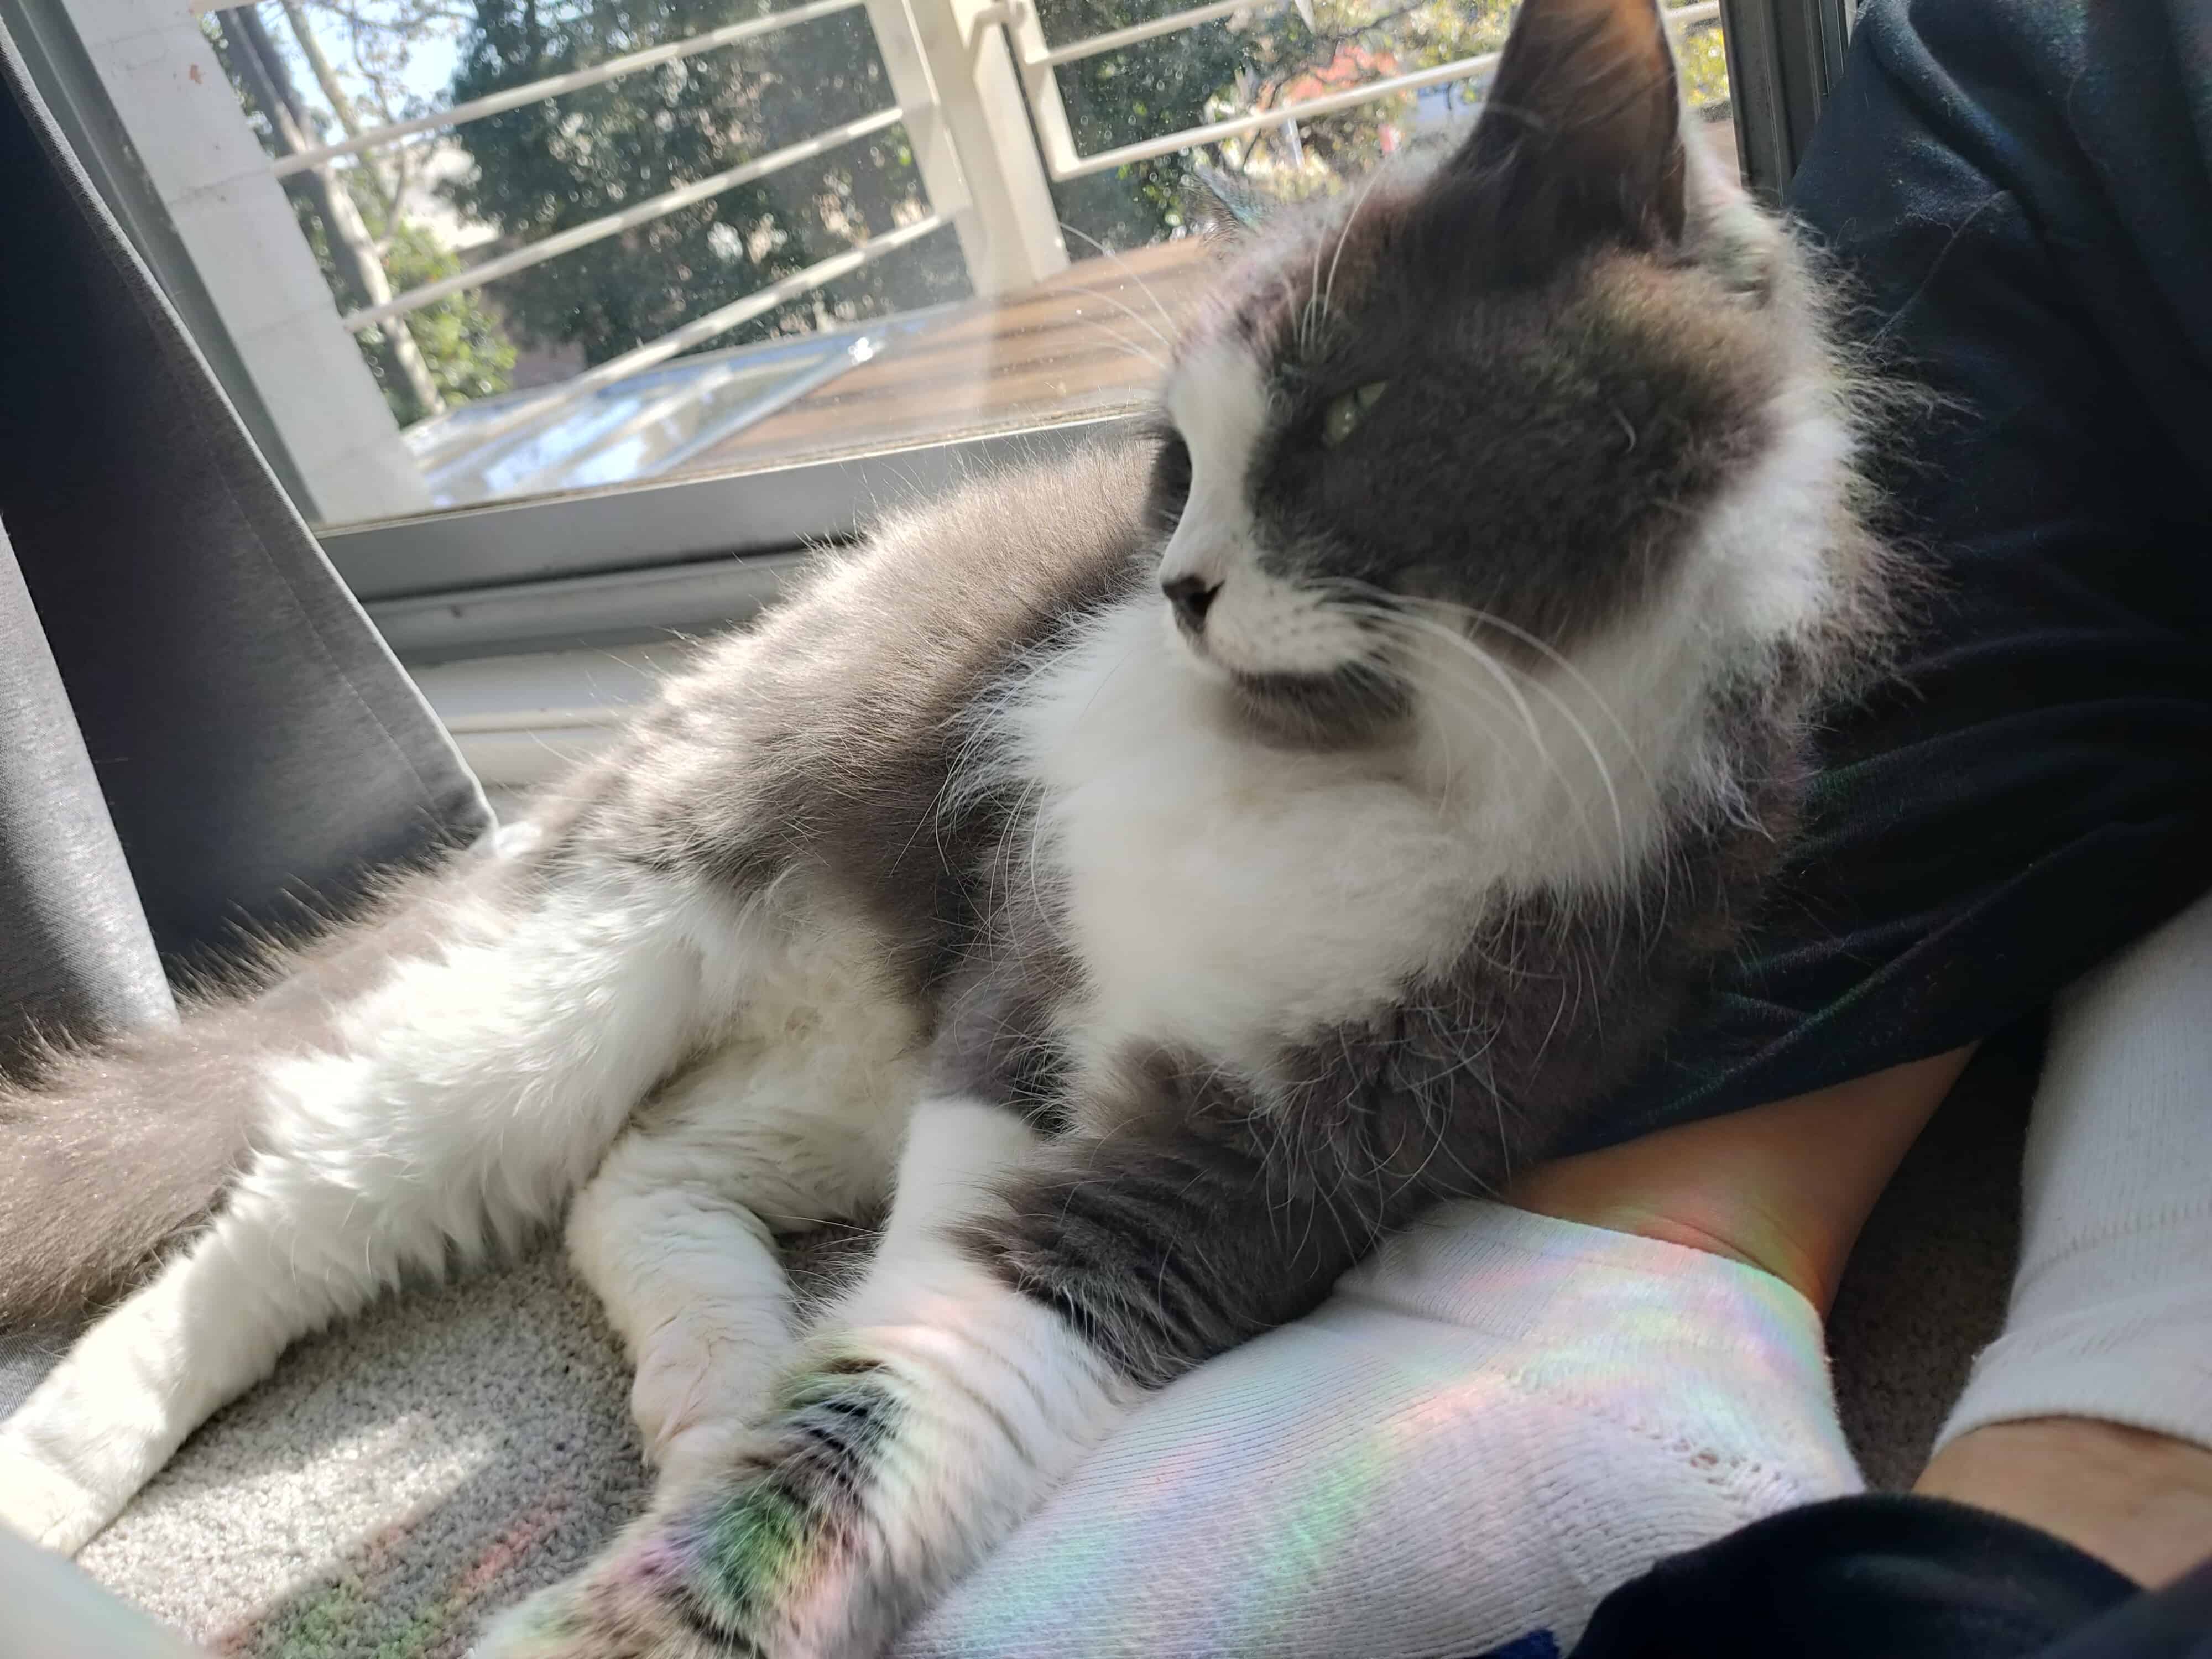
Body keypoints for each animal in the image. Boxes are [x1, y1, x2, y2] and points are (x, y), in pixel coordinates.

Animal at [0, 0, 1894, 1651]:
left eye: (1346, 416)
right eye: (1174, 467)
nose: (1181, 586)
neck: (1357, 768)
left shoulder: (1234, 1164)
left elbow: (901, 1405)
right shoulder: (1021, 998)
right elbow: (898, 1328)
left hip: (843, 1049)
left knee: (631, 1176)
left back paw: (708, 1380)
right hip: (610, 960)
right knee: (310, 1212)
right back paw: (51, 1476)